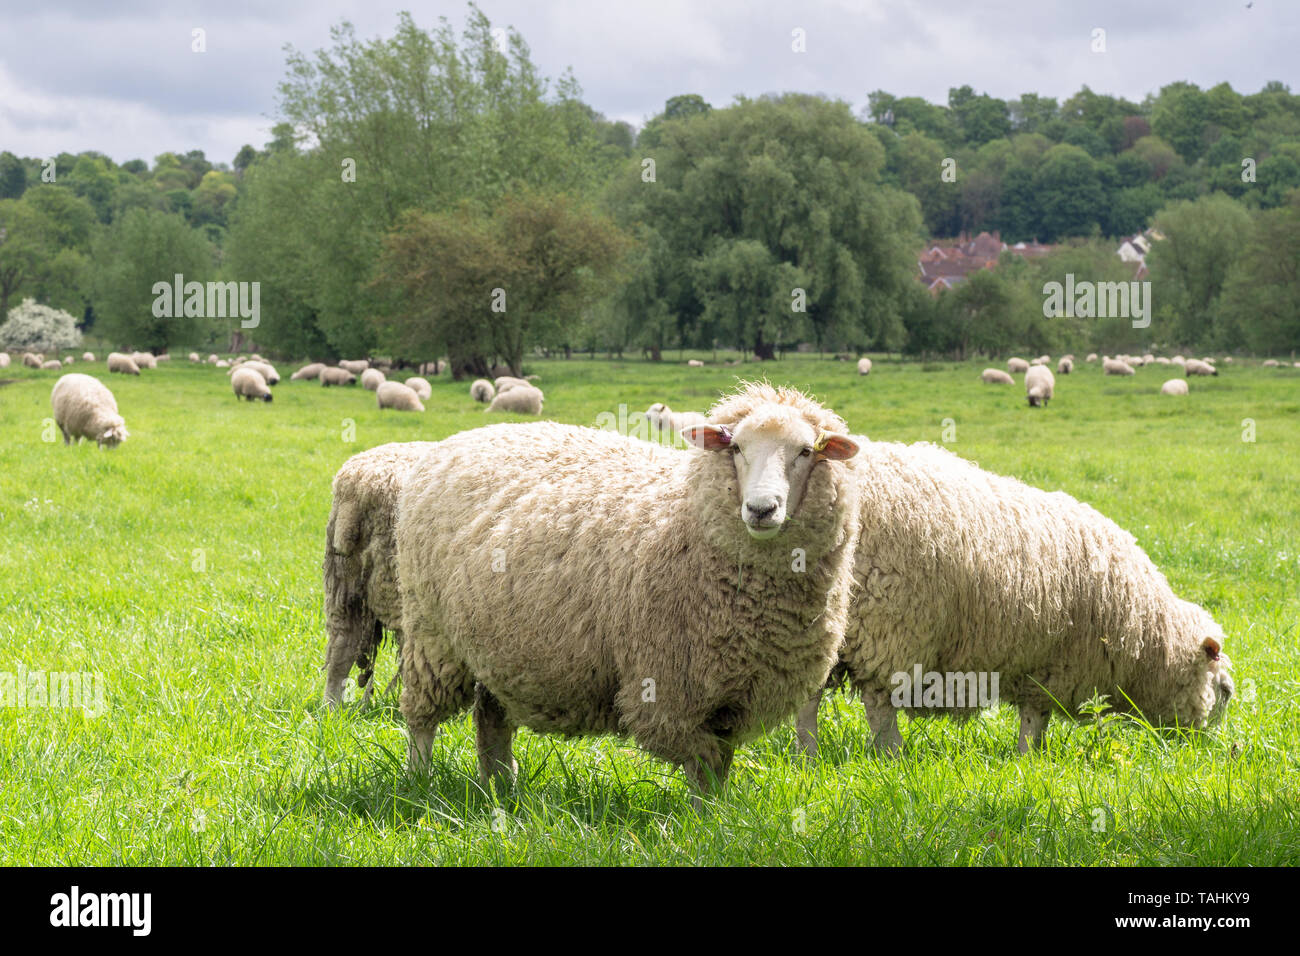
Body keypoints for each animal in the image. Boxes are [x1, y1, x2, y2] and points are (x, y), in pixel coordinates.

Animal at [395, 382, 863, 801]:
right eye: (735, 449)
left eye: (805, 452)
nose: (761, 509)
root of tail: (457, 440)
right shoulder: (671, 689)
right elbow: (703, 763)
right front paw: (703, 821)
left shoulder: (732, 695)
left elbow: (720, 765)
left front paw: (720, 816)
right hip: (430, 630)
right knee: (421, 716)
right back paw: (420, 782)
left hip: (496, 646)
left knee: (490, 716)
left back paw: (501, 786)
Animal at [795, 442, 1232, 764]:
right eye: (1225, 690)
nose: (1207, 751)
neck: (1150, 638)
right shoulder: (1055, 667)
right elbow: (1034, 719)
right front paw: (1028, 759)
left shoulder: (1038, 666)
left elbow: (1035, 721)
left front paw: (1033, 758)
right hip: (889, 623)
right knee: (879, 701)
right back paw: (892, 754)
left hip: (823, 621)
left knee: (809, 696)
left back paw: (808, 754)